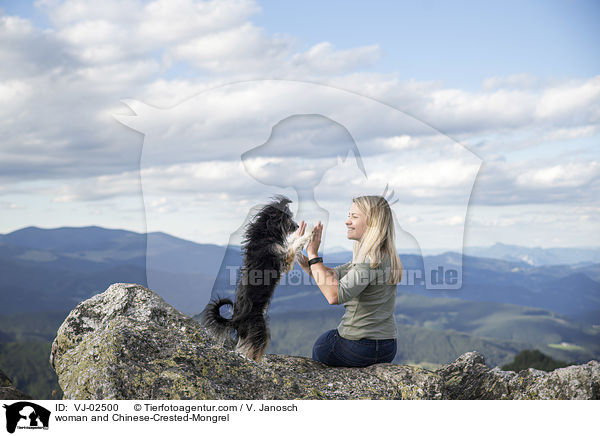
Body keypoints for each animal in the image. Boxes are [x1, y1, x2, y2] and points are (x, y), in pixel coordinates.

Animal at [202, 195, 314, 362]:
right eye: (288, 217)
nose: (297, 225)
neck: (266, 234)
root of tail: (236, 319)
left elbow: (292, 242)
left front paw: (301, 233)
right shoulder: (283, 259)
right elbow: (293, 246)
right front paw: (309, 232)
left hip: (249, 332)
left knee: (243, 347)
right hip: (260, 328)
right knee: (254, 348)